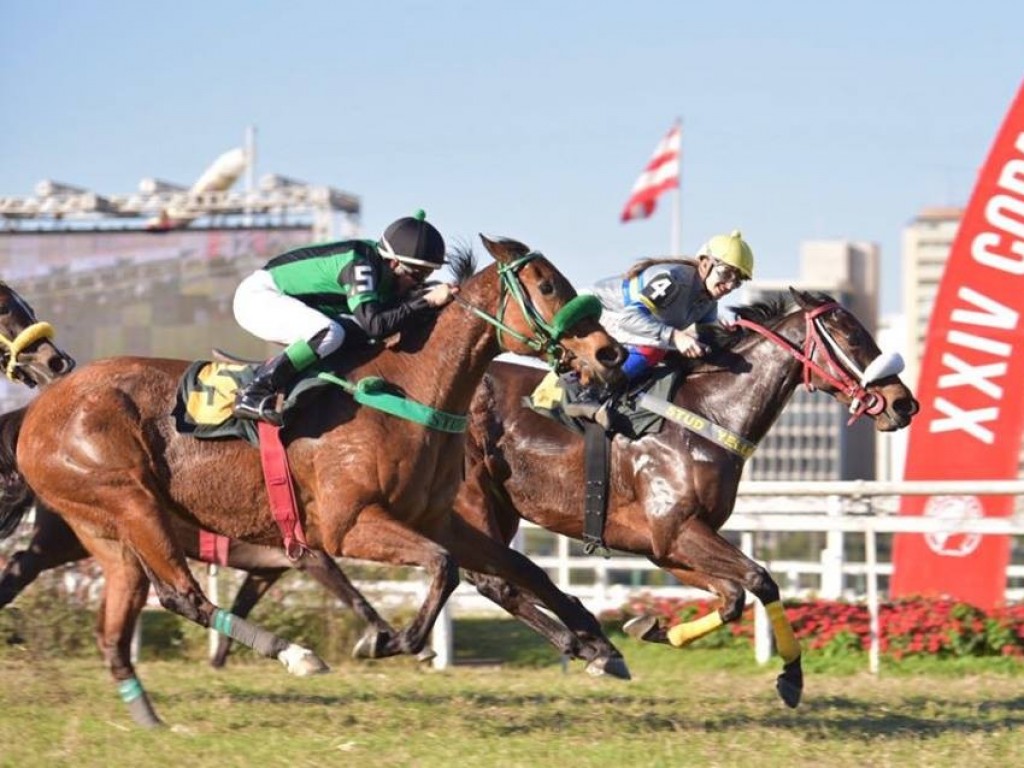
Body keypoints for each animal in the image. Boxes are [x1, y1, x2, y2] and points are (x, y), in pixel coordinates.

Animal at [0, 237, 626, 729]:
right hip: (129, 502)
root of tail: (39, 409)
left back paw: (150, 717)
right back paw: (296, 655)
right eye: (547, 285)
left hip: (104, 533)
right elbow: (444, 568)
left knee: (118, 627)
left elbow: (520, 569)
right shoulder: (346, 526)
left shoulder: (435, 518)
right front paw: (390, 641)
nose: (609, 352)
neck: (405, 389)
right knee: (180, 594)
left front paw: (596, 644)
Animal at [452, 290, 917, 708]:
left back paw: (592, 641)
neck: (708, 415)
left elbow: (732, 598)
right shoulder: (677, 530)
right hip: (471, 498)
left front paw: (650, 628)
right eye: (853, 337)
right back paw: (590, 644)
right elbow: (760, 579)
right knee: (499, 579)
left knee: (496, 576)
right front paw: (791, 675)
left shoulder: (666, 547)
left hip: (498, 507)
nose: (904, 404)